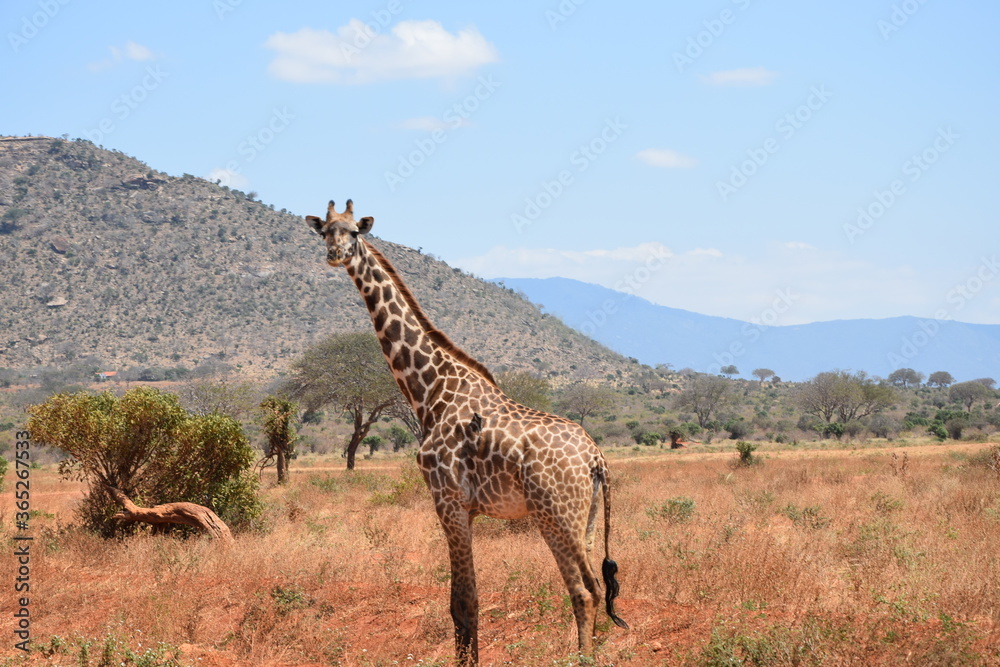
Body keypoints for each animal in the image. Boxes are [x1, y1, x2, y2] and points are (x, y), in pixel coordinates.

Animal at [306, 199, 628, 664]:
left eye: (354, 231)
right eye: (324, 231)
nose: (335, 254)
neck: (431, 390)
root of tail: (596, 458)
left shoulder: (448, 501)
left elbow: (461, 602)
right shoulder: (468, 509)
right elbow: (470, 600)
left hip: (555, 515)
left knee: (586, 590)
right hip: (585, 518)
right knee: (593, 588)